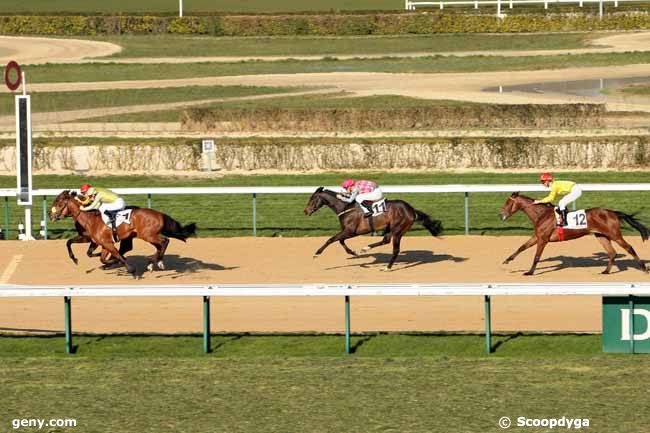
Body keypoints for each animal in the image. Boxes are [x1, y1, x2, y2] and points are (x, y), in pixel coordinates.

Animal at [50, 192, 195, 276]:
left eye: (58, 203)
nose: (50, 215)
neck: (89, 218)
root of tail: (160, 214)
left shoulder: (107, 243)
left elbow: (116, 255)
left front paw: (130, 269)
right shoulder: (97, 241)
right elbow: (73, 244)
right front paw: (75, 259)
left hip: (147, 235)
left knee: (165, 241)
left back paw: (154, 262)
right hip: (145, 236)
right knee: (159, 245)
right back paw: (154, 262)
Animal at [302, 186, 440, 270]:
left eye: (312, 198)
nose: (305, 211)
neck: (345, 207)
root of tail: (411, 210)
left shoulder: (350, 231)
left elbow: (331, 239)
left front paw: (316, 254)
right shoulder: (347, 231)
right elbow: (340, 241)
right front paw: (353, 252)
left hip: (398, 229)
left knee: (395, 249)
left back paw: (387, 267)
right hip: (391, 228)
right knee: (385, 240)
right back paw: (365, 248)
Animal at [498, 192, 644, 276]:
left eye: (508, 202)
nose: (501, 215)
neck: (541, 214)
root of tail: (613, 212)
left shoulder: (543, 239)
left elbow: (536, 256)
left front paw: (530, 272)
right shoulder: (537, 236)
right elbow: (522, 247)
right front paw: (507, 260)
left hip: (614, 234)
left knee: (629, 247)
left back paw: (643, 268)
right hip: (601, 236)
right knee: (612, 253)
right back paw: (606, 271)